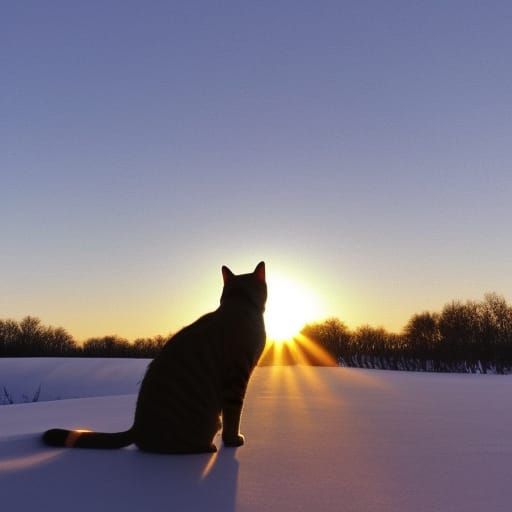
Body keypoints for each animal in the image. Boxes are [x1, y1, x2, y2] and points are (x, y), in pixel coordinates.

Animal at [42, 262, 268, 454]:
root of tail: (136, 427)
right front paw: (233, 440)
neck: (238, 303)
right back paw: (207, 447)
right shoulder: (237, 376)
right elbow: (234, 416)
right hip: (208, 420)